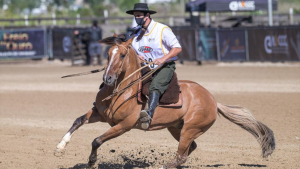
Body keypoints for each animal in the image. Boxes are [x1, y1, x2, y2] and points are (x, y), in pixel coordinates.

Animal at [55, 34, 276, 169]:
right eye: (108, 54)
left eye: (123, 54)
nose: (107, 79)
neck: (121, 90)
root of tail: (213, 100)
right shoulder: (99, 114)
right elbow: (77, 121)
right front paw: (60, 147)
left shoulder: (124, 125)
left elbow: (97, 140)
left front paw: (92, 161)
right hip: (176, 128)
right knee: (189, 149)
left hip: (190, 129)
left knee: (182, 153)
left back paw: (163, 166)